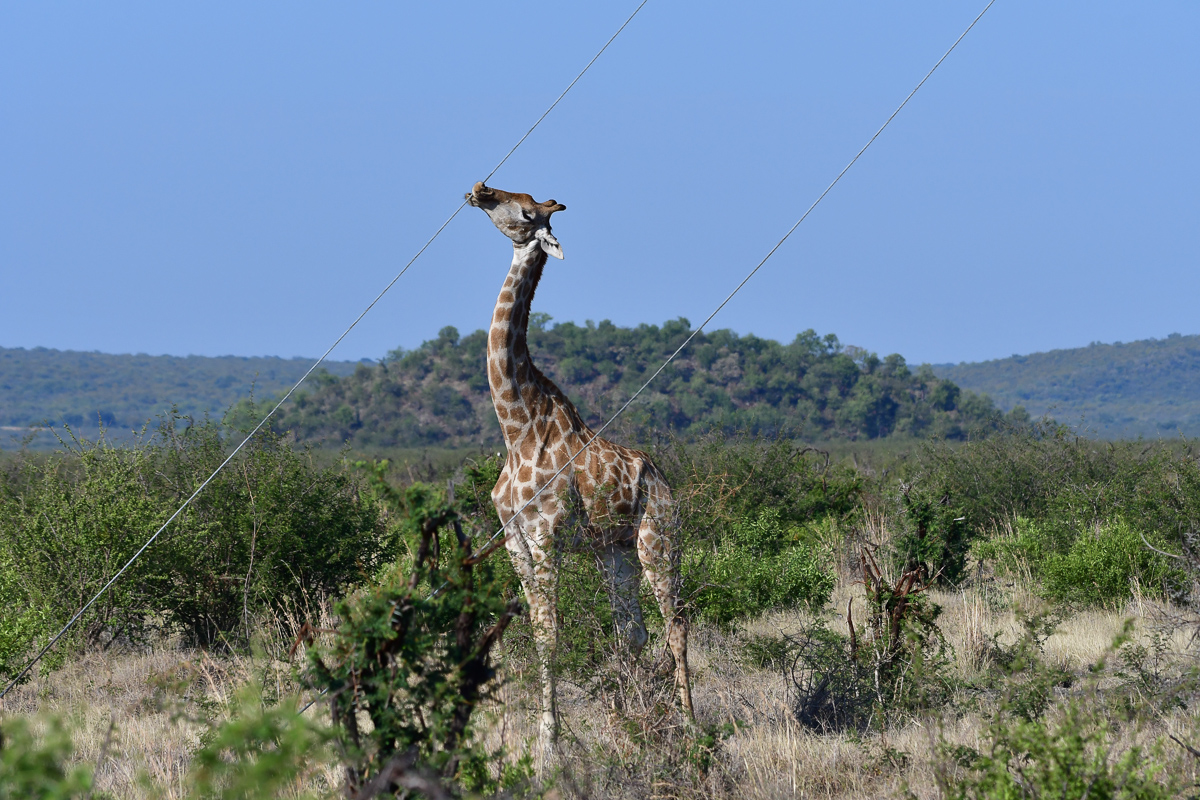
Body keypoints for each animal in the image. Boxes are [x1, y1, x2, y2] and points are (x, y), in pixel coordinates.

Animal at [465, 181, 693, 754]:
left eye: (528, 213)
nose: (479, 190)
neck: (517, 426)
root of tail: (664, 481)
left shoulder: (546, 533)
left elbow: (551, 635)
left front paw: (551, 744)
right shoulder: (514, 538)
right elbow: (536, 633)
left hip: (658, 537)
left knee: (675, 623)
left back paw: (689, 725)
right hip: (615, 550)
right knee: (631, 629)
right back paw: (629, 715)